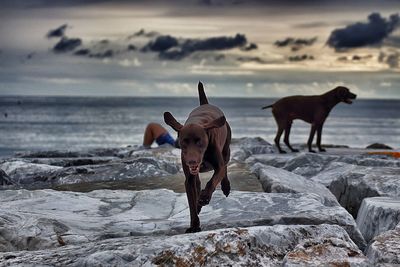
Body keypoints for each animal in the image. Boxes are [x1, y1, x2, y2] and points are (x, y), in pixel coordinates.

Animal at [163, 82, 231, 234]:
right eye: (183, 142)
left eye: (199, 141)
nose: (192, 161)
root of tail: (205, 103)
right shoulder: (189, 179)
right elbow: (192, 203)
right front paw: (194, 225)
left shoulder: (218, 166)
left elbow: (213, 180)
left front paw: (205, 197)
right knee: (198, 184)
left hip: (226, 150)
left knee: (225, 167)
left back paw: (225, 187)